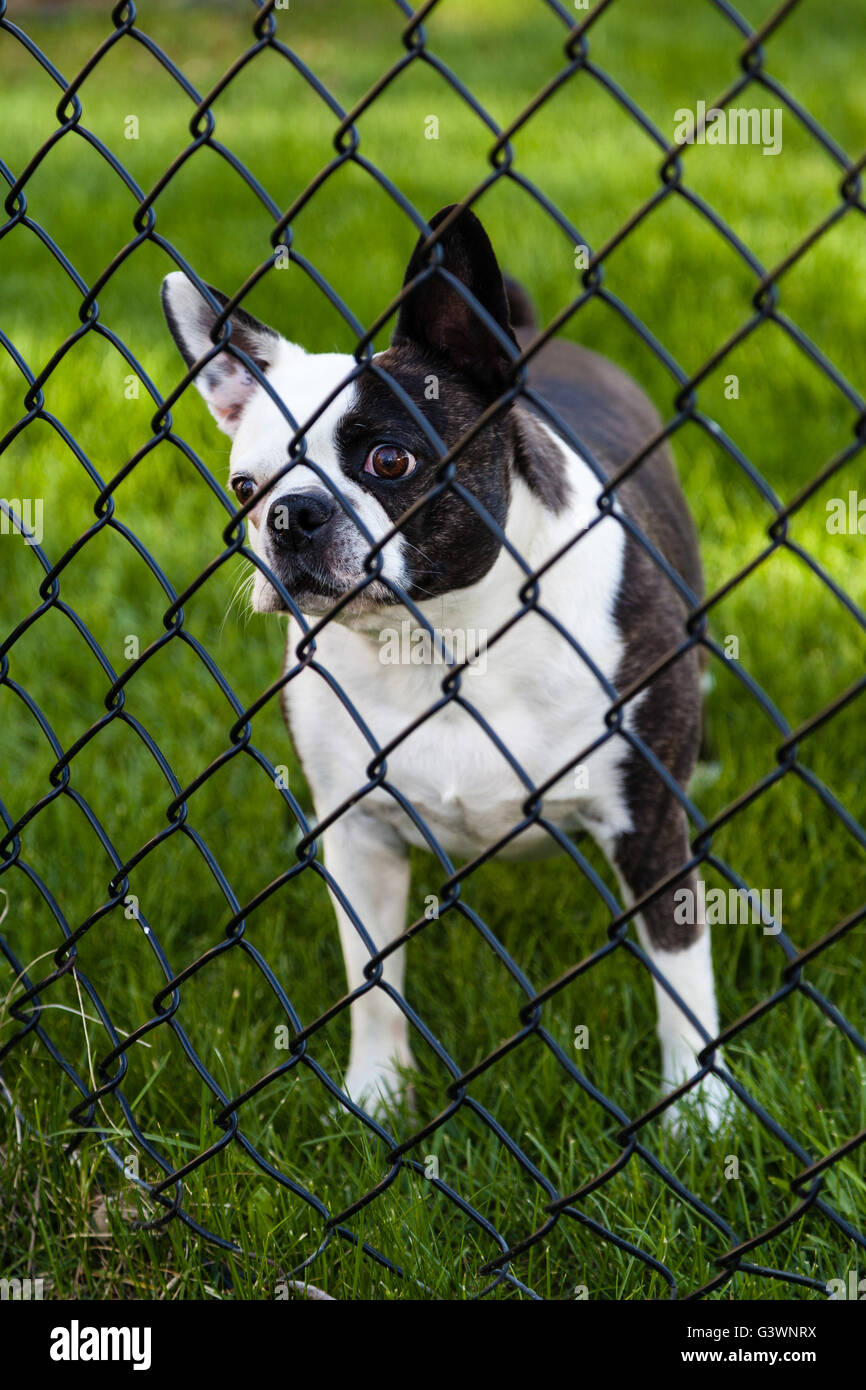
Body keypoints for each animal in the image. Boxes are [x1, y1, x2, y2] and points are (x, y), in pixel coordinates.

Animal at [164, 201, 733, 1123]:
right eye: (245, 488)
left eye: (389, 460)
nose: (289, 515)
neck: (439, 642)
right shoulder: (361, 839)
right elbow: (372, 981)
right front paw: (375, 1094)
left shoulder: (648, 827)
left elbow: (682, 980)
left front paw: (699, 1115)